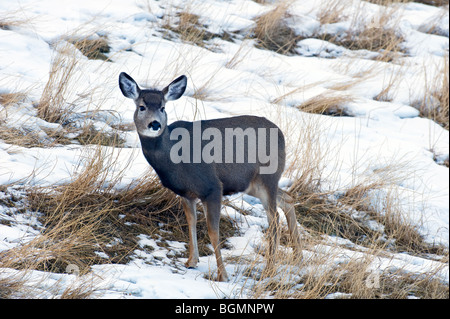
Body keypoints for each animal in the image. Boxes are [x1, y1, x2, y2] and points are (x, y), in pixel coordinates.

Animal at [119, 72, 302, 282]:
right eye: (141, 106)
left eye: (163, 107)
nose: (155, 124)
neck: (174, 155)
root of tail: (281, 134)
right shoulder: (187, 193)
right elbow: (190, 222)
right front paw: (191, 261)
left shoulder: (212, 187)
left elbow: (213, 231)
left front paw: (222, 275)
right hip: (253, 184)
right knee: (288, 198)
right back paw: (297, 258)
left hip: (268, 177)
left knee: (274, 220)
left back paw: (269, 269)